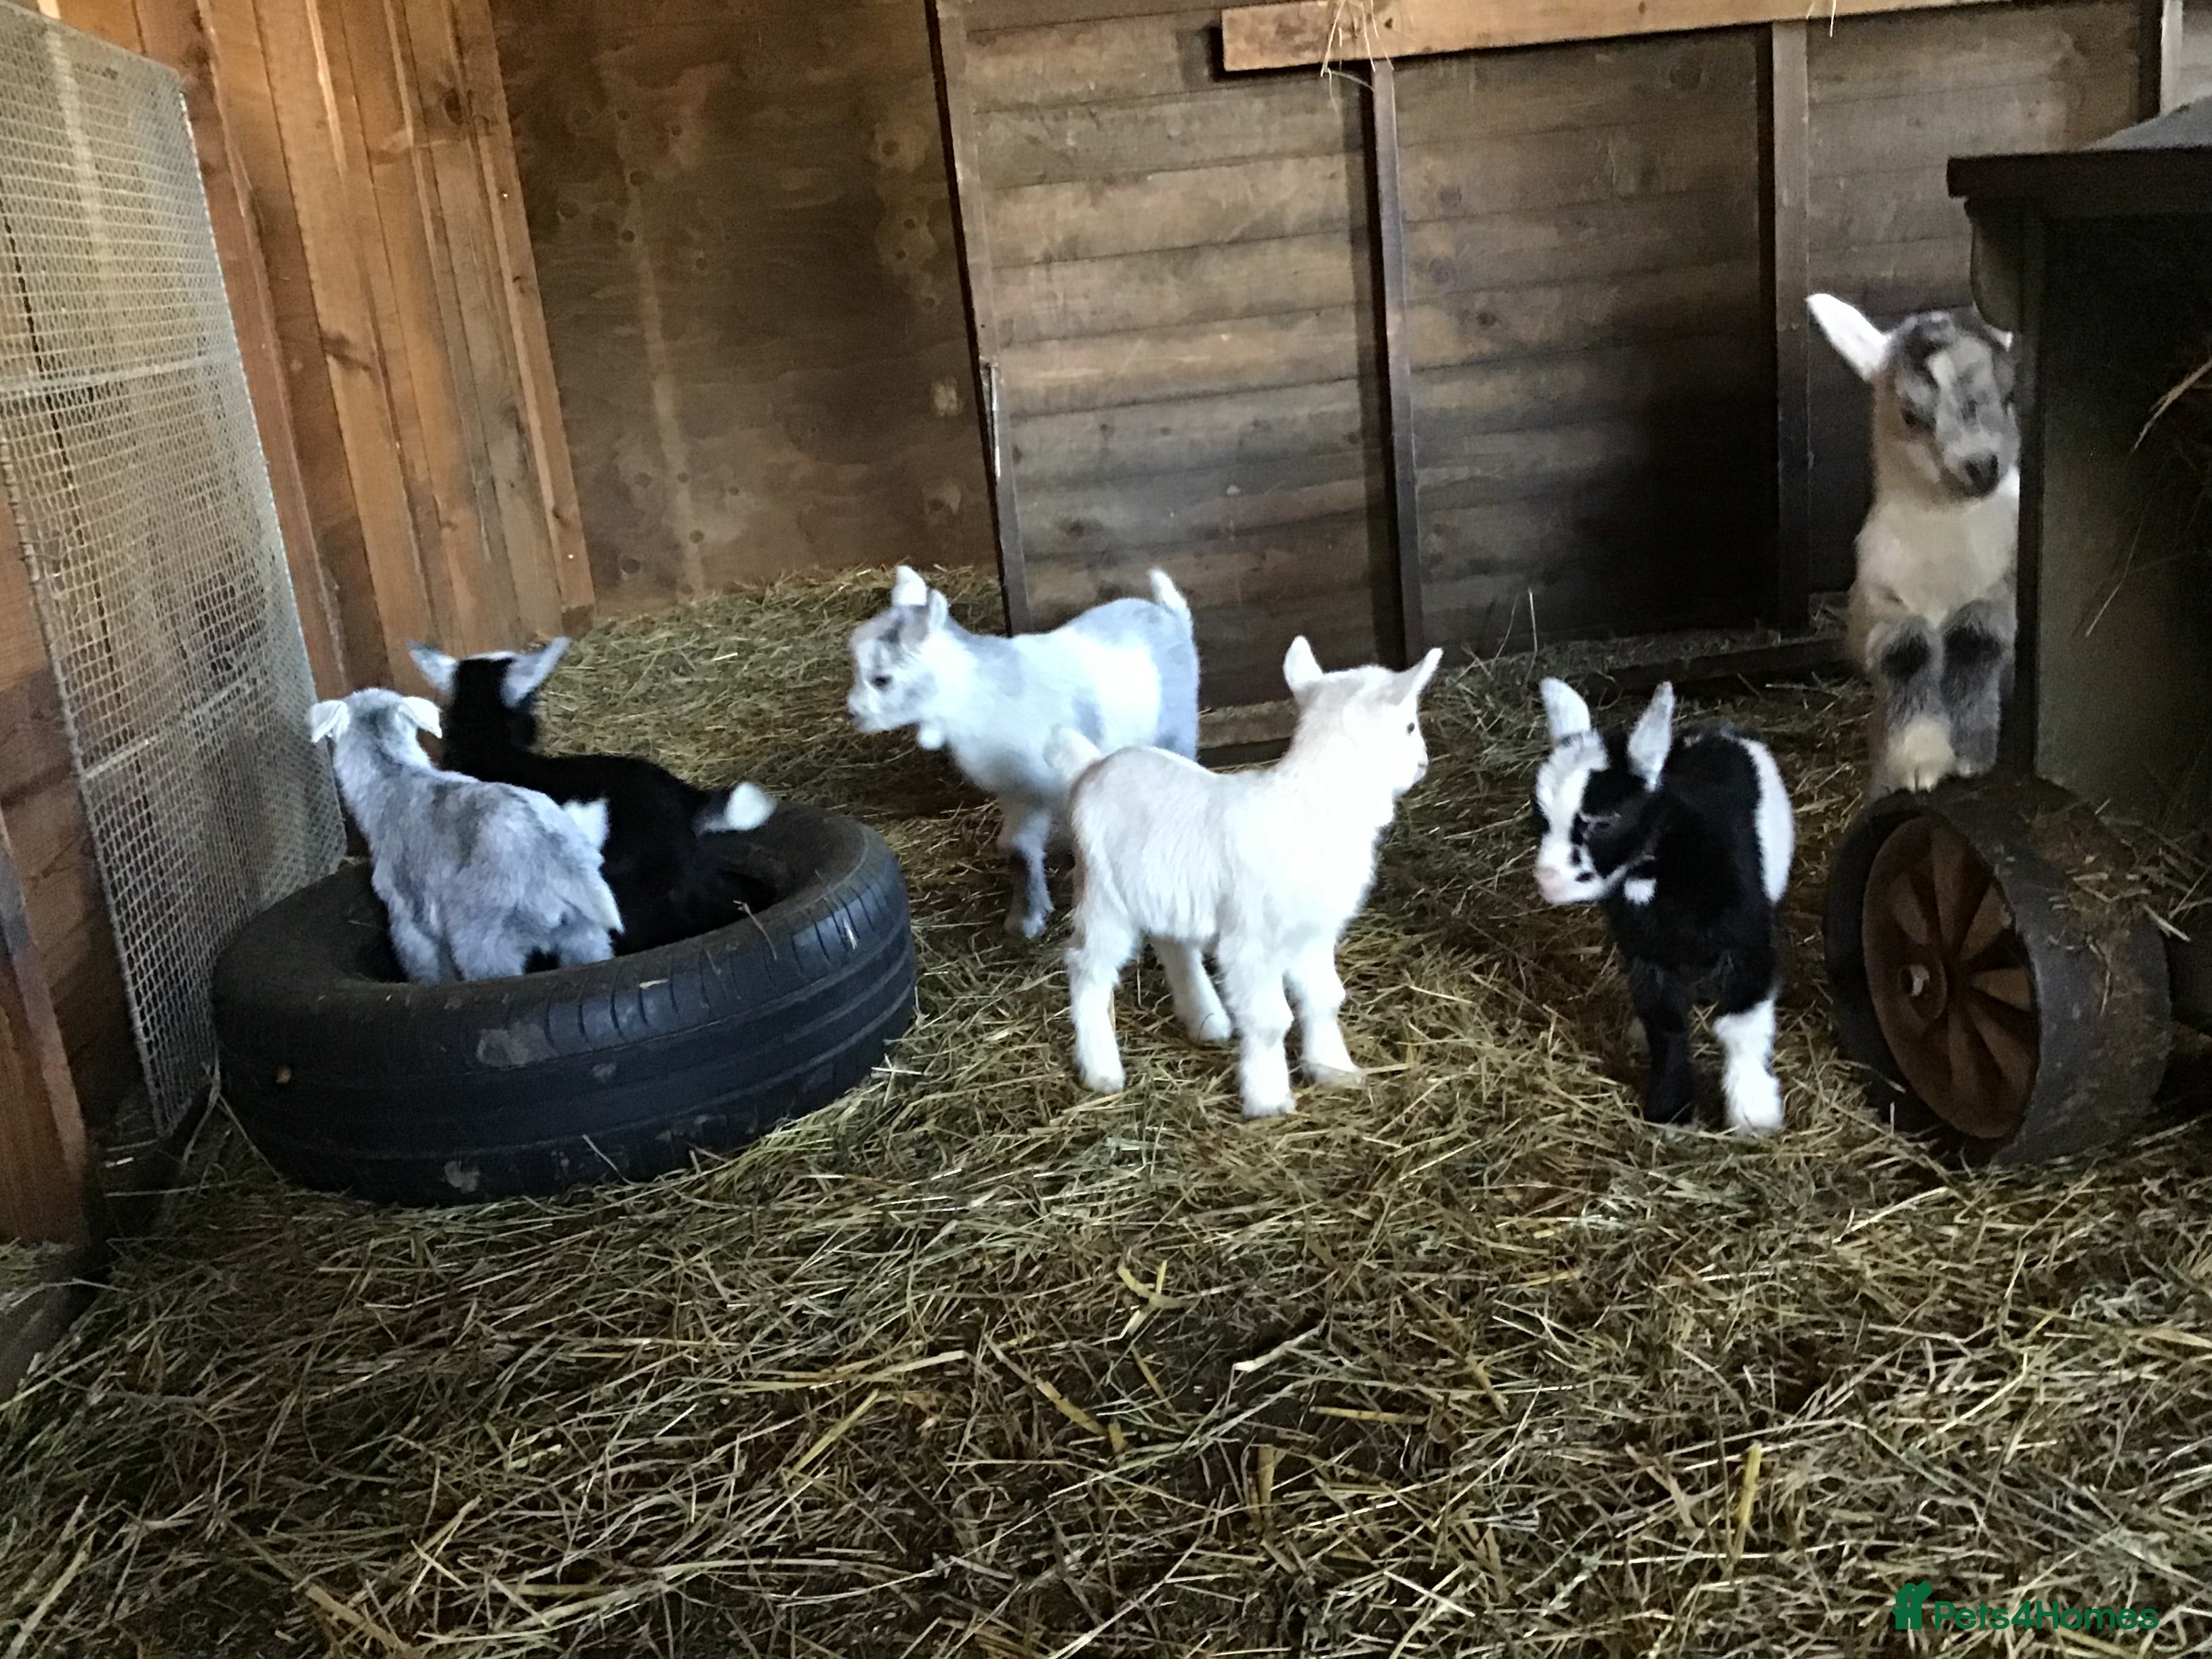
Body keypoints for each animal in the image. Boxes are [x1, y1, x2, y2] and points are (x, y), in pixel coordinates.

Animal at [308, 688, 621, 983]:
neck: (395, 774)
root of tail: (557, 858)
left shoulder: (408, 918)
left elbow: (426, 967)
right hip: (583, 933)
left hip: (484, 941)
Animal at [846, 565, 1200, 939]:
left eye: (882, 679)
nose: (853, 714)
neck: (977, 695)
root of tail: (1171, 615)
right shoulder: (1018, 791)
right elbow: (1017, 847)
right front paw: (1026, 917)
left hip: (1177, 730)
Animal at [1051, 637, 1440, 1119]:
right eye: (1409, 726)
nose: (1423, 764)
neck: (1311, 804)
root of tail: (1089, 768)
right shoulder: (1253, 942)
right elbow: (1271, 1020)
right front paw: (1268, 1099)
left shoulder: (1313, 934)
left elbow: (1325, 999)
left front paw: (1334, 1069)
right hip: (1103, 895)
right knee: (1087, 967)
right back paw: (1101, 1070)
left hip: (1162, 889)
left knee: (1172, 944)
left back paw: (1208, 1021)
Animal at [1531, 678, 1793, 1138]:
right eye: (1541, 815)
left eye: (1604, 820)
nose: (1547, 879)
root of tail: (1717, 729)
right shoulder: (1647, 955)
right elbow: (1666, 1025)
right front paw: (1670, 1109)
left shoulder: (1749, 944)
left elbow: (1740, 1026)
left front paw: (1753, 1114)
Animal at [1808, 294, 2018, 796]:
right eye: (1910, 415)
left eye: (2009, 396)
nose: (1982, 466)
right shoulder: (1874, 602)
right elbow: (1906, 649)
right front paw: (1920, 763)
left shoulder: (2004, 587)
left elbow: (1978, 638)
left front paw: (1969, 755)